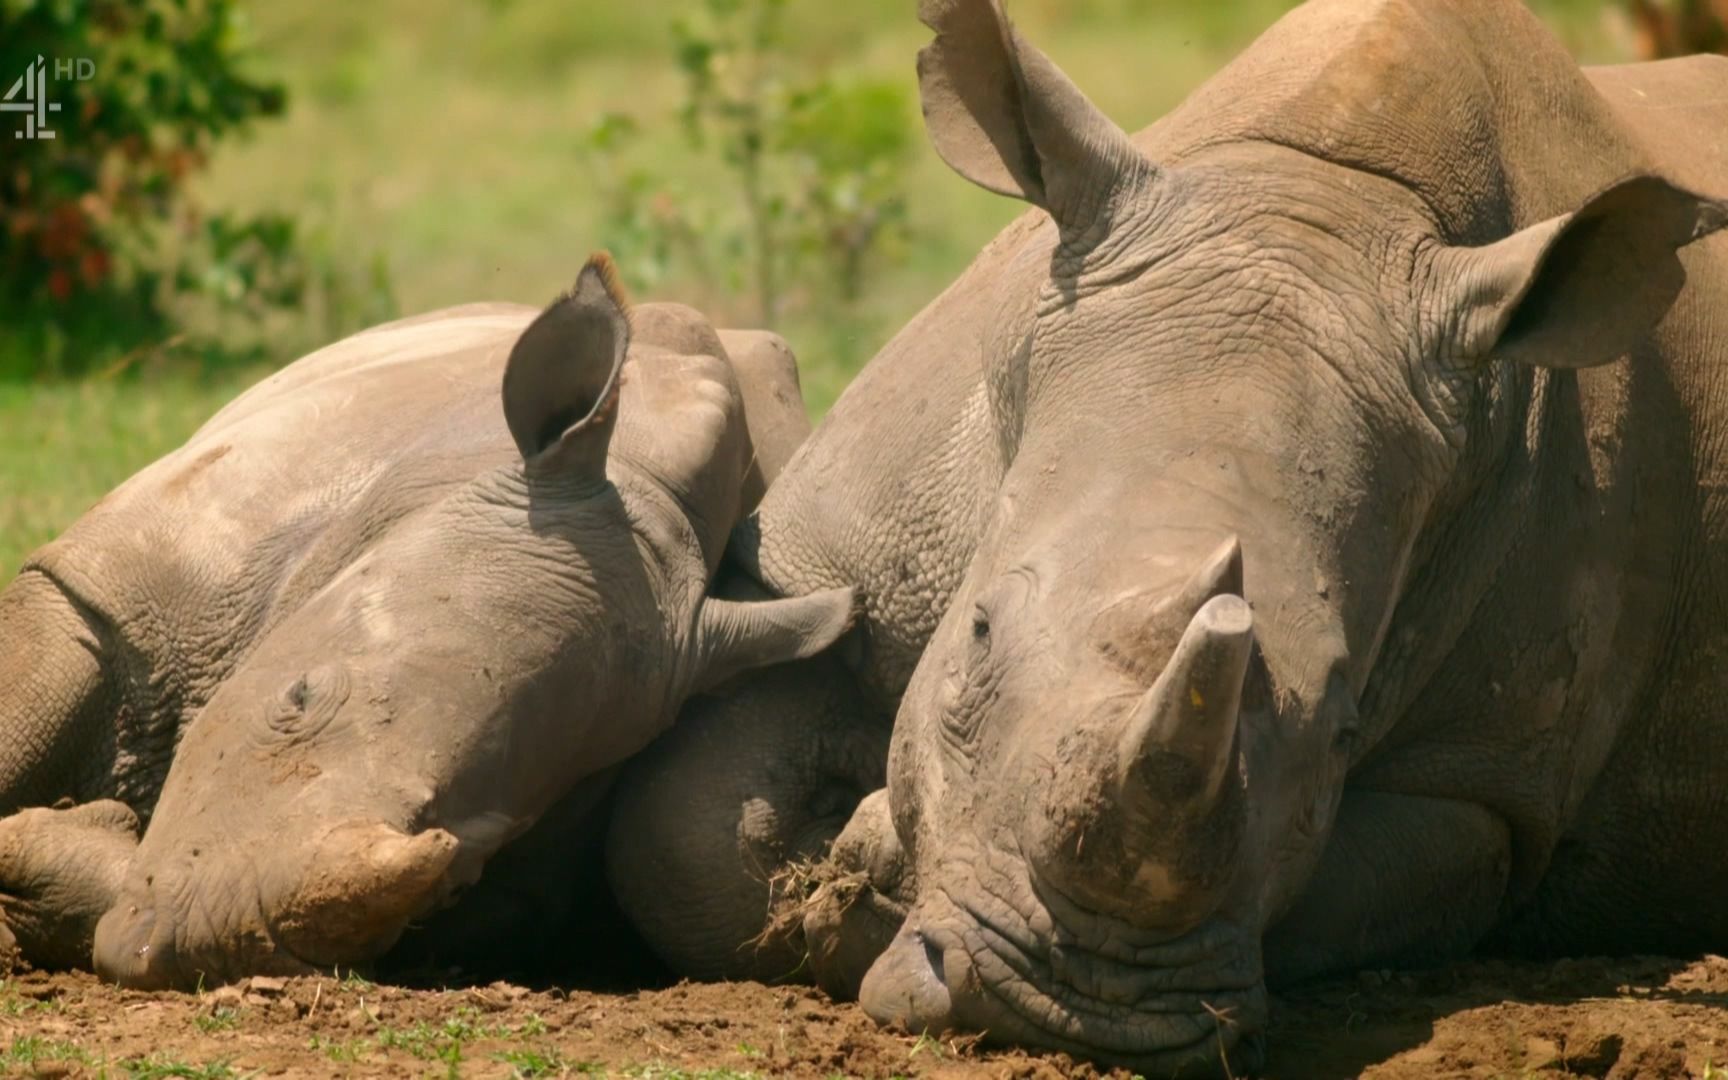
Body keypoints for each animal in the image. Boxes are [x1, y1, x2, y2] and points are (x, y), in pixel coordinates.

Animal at [615, 0, 1728, 1064]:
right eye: (977, 631)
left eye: (1343, 729)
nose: (1060, 1011)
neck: (1320, 194)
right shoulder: (820, 559)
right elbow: (691, 827)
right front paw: (866, 865)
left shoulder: (1486, 780)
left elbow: (1353, 885)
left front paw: (880, 861)